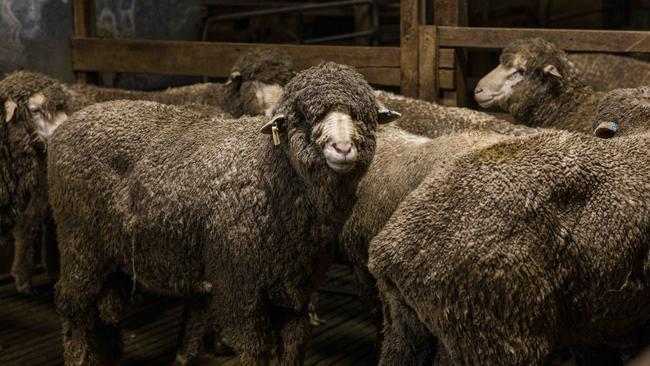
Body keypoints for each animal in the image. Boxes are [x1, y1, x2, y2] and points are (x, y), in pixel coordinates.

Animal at [46, 61, 394, 364]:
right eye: (303, 116)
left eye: (363, 115)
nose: (342, 149)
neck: (270, 172)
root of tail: (68, 125)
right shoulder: (239, 283)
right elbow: (255, 349)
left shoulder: (296, 286)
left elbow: (293, 346)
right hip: (79, 238)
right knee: (72, 304)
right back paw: (77, 354)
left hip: (111, 250)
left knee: (106, 307)